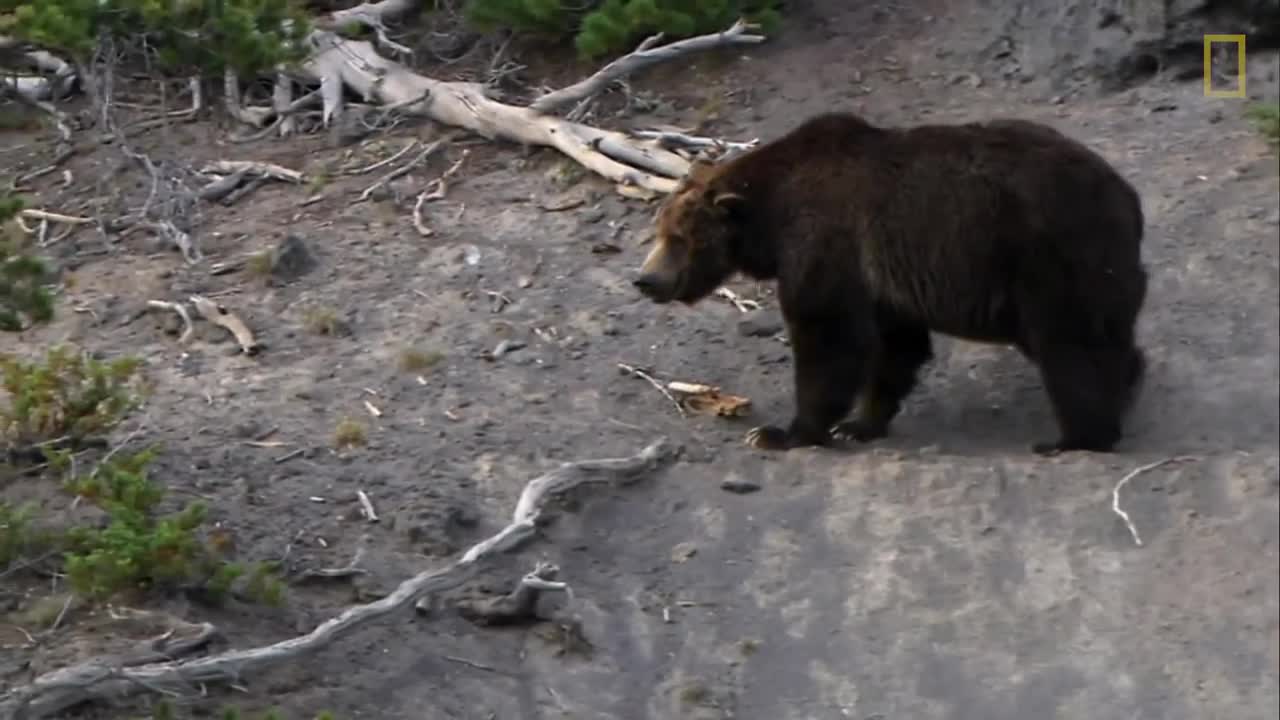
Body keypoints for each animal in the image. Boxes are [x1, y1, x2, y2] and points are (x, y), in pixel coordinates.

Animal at [634, 111, 1146, 453]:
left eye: (679, 238)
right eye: (660, 231)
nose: (646, 279)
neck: (771, 219)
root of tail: (1125, 194)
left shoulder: (825, 243)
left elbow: (829, 338)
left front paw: (783, 431)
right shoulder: (882, 279)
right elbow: (895, 347)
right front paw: (861, 423)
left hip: (1048, 256)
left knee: (1068, 344)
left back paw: (1076, 437)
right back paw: (1127, 383)